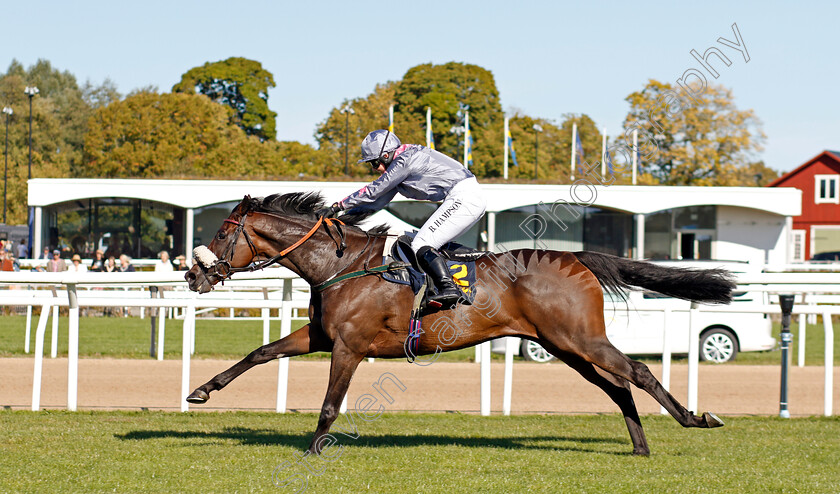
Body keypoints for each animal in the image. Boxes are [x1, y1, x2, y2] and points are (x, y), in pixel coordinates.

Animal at [182, 193, 728, 456]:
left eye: (223, 232)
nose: (192, 274)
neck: (341, 264)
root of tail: (577, 259)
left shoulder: (349, 346)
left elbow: (330, 404)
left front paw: (315, 449)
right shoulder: (320, 335)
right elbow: (259, 353)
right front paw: (201, 391)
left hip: (581, 339)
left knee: (638, 372)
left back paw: (696, 418)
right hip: (566, 347)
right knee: (617, 387)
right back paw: (639, 446)